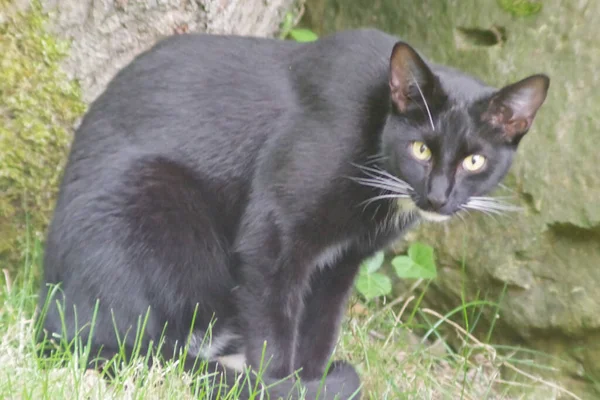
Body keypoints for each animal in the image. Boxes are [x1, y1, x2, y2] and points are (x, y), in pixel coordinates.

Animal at [37, 27, 552, 396]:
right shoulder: (273, 236)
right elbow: (275, 333)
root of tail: (54, 306)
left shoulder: (341, 263)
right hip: (151, 202)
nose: (438, 197)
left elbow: (319, 332)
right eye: (421, 149)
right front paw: (283, 385)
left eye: (475, 161)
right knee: (132, 343)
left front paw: (311, 379)